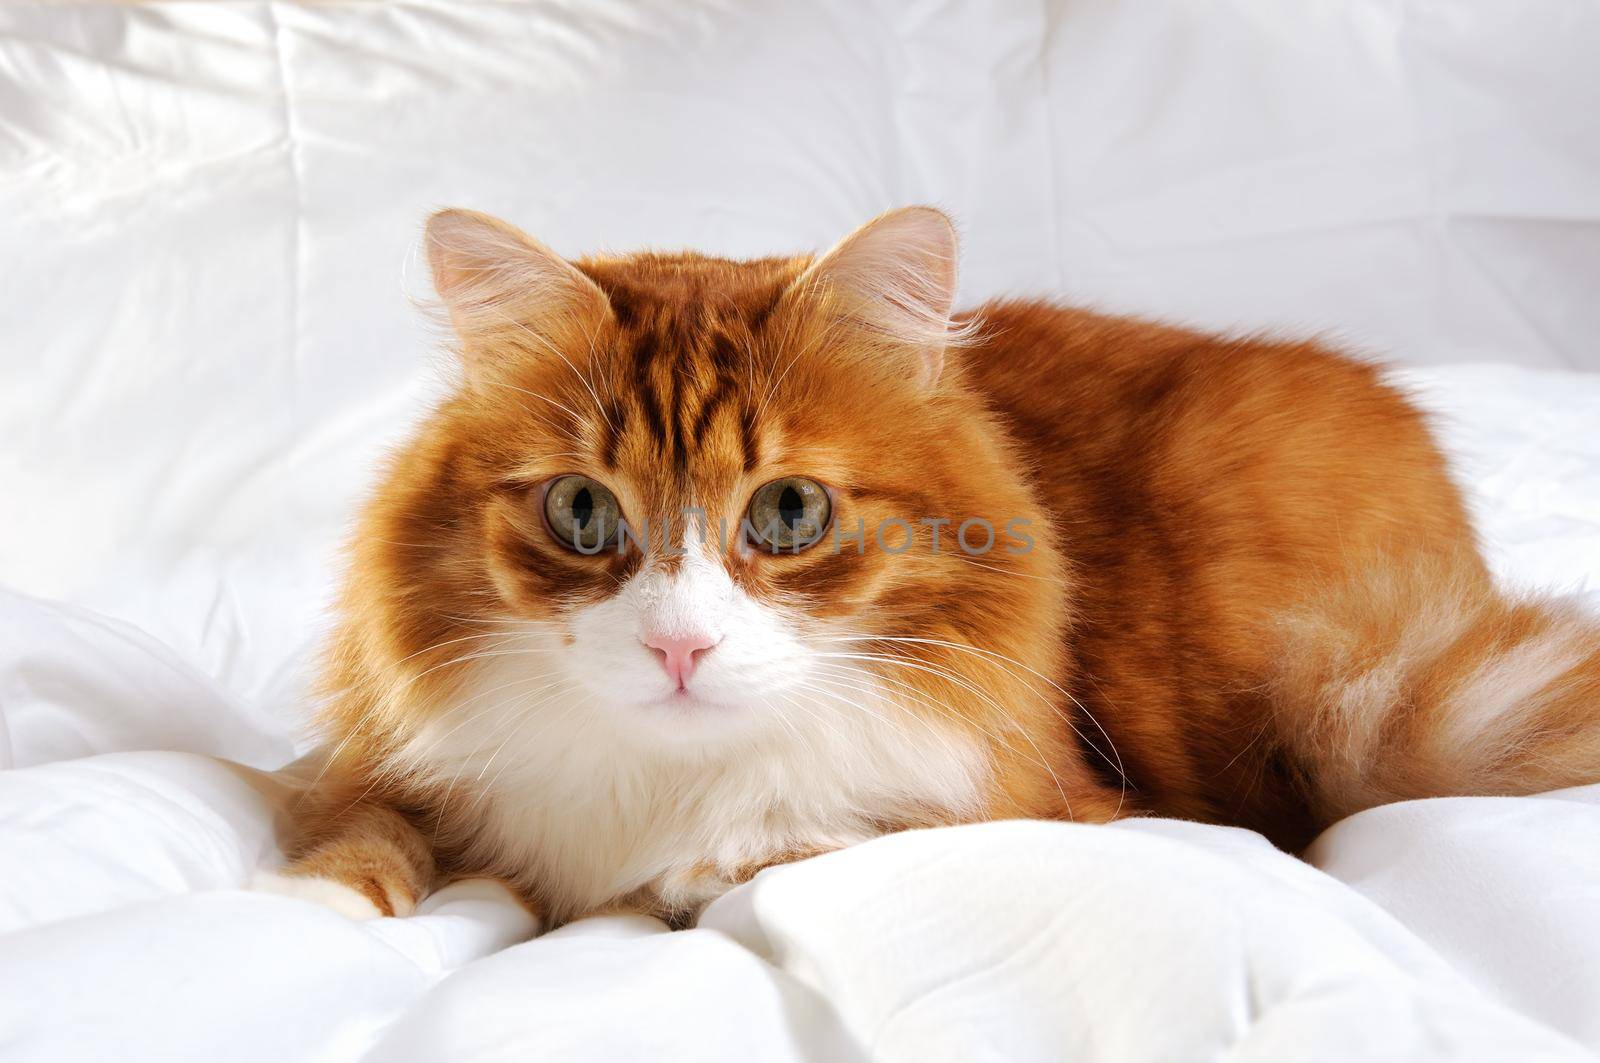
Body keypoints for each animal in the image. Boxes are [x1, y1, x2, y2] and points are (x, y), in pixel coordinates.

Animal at [256, 203, 1600, 928]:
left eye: (789, 511)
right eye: (582, 512)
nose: (679, 645)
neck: (676, 780)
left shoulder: (1061, 803)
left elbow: (819, 838)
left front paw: (705, 867)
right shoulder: (382, 772)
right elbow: (360, 838)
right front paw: (297, 922)